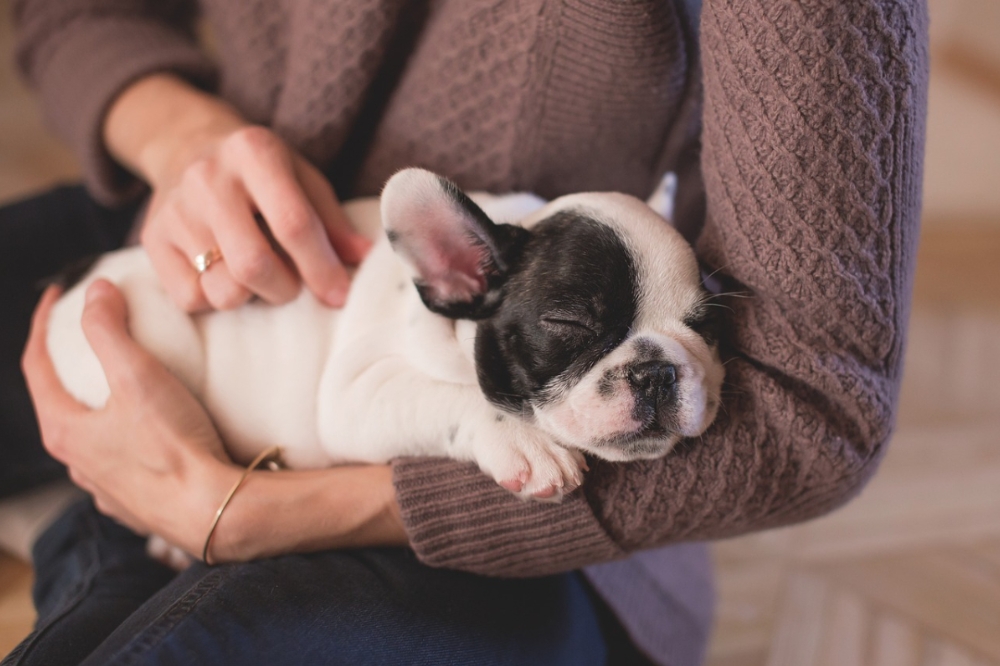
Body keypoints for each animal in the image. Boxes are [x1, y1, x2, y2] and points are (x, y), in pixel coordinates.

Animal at [45, 167, 728, 504]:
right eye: (569, 324)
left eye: (705, 325)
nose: (658, 370)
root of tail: (75, 278)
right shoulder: (356, 393)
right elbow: (455, 398)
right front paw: (526, 443)